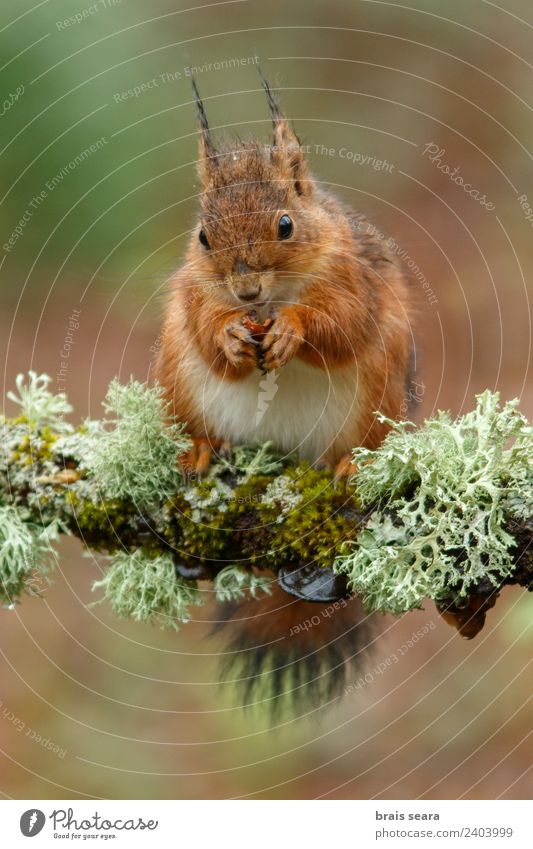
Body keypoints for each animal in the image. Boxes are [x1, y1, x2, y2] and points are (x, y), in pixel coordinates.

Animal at [156, 79, 414, 708]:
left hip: (377, 401)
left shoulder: (357, 282)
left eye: (286, 225)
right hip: (180, 382)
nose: (246, 289)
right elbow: (207, 329)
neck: (268, 304)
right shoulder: (192, 295)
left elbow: (341, 325)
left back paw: (350, 465)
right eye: (203, 236)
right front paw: (229, 335)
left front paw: (295, 328)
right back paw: (202, 449)